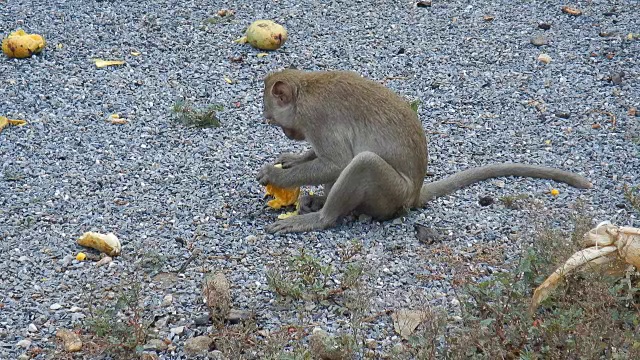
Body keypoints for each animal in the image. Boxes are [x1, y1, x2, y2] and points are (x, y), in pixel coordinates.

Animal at [256, 69, 596, 235]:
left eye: (272, 119)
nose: (287, 133)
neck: (305, 89)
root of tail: (416, 192)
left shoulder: (316, 118)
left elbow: (338, 162)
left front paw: (276, 175)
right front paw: (292, 160)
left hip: (391, 195)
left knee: (363, 163)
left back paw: (321, 216)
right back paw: (318, 201)